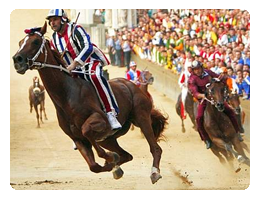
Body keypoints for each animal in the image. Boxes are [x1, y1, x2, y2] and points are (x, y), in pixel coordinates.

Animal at [12, 22, 168, 184]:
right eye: (20, 42)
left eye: (36, 41)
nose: (17, 60)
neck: (66, 95)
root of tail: (133, 85)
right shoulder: (78, 139)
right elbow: (94, 166)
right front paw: (113, 164)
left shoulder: (100, 121)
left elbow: (87, 130)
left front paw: (110, 158)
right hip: (109, 138)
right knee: (127, 155)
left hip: (141, 118)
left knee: (155, 148)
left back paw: (154, 172)